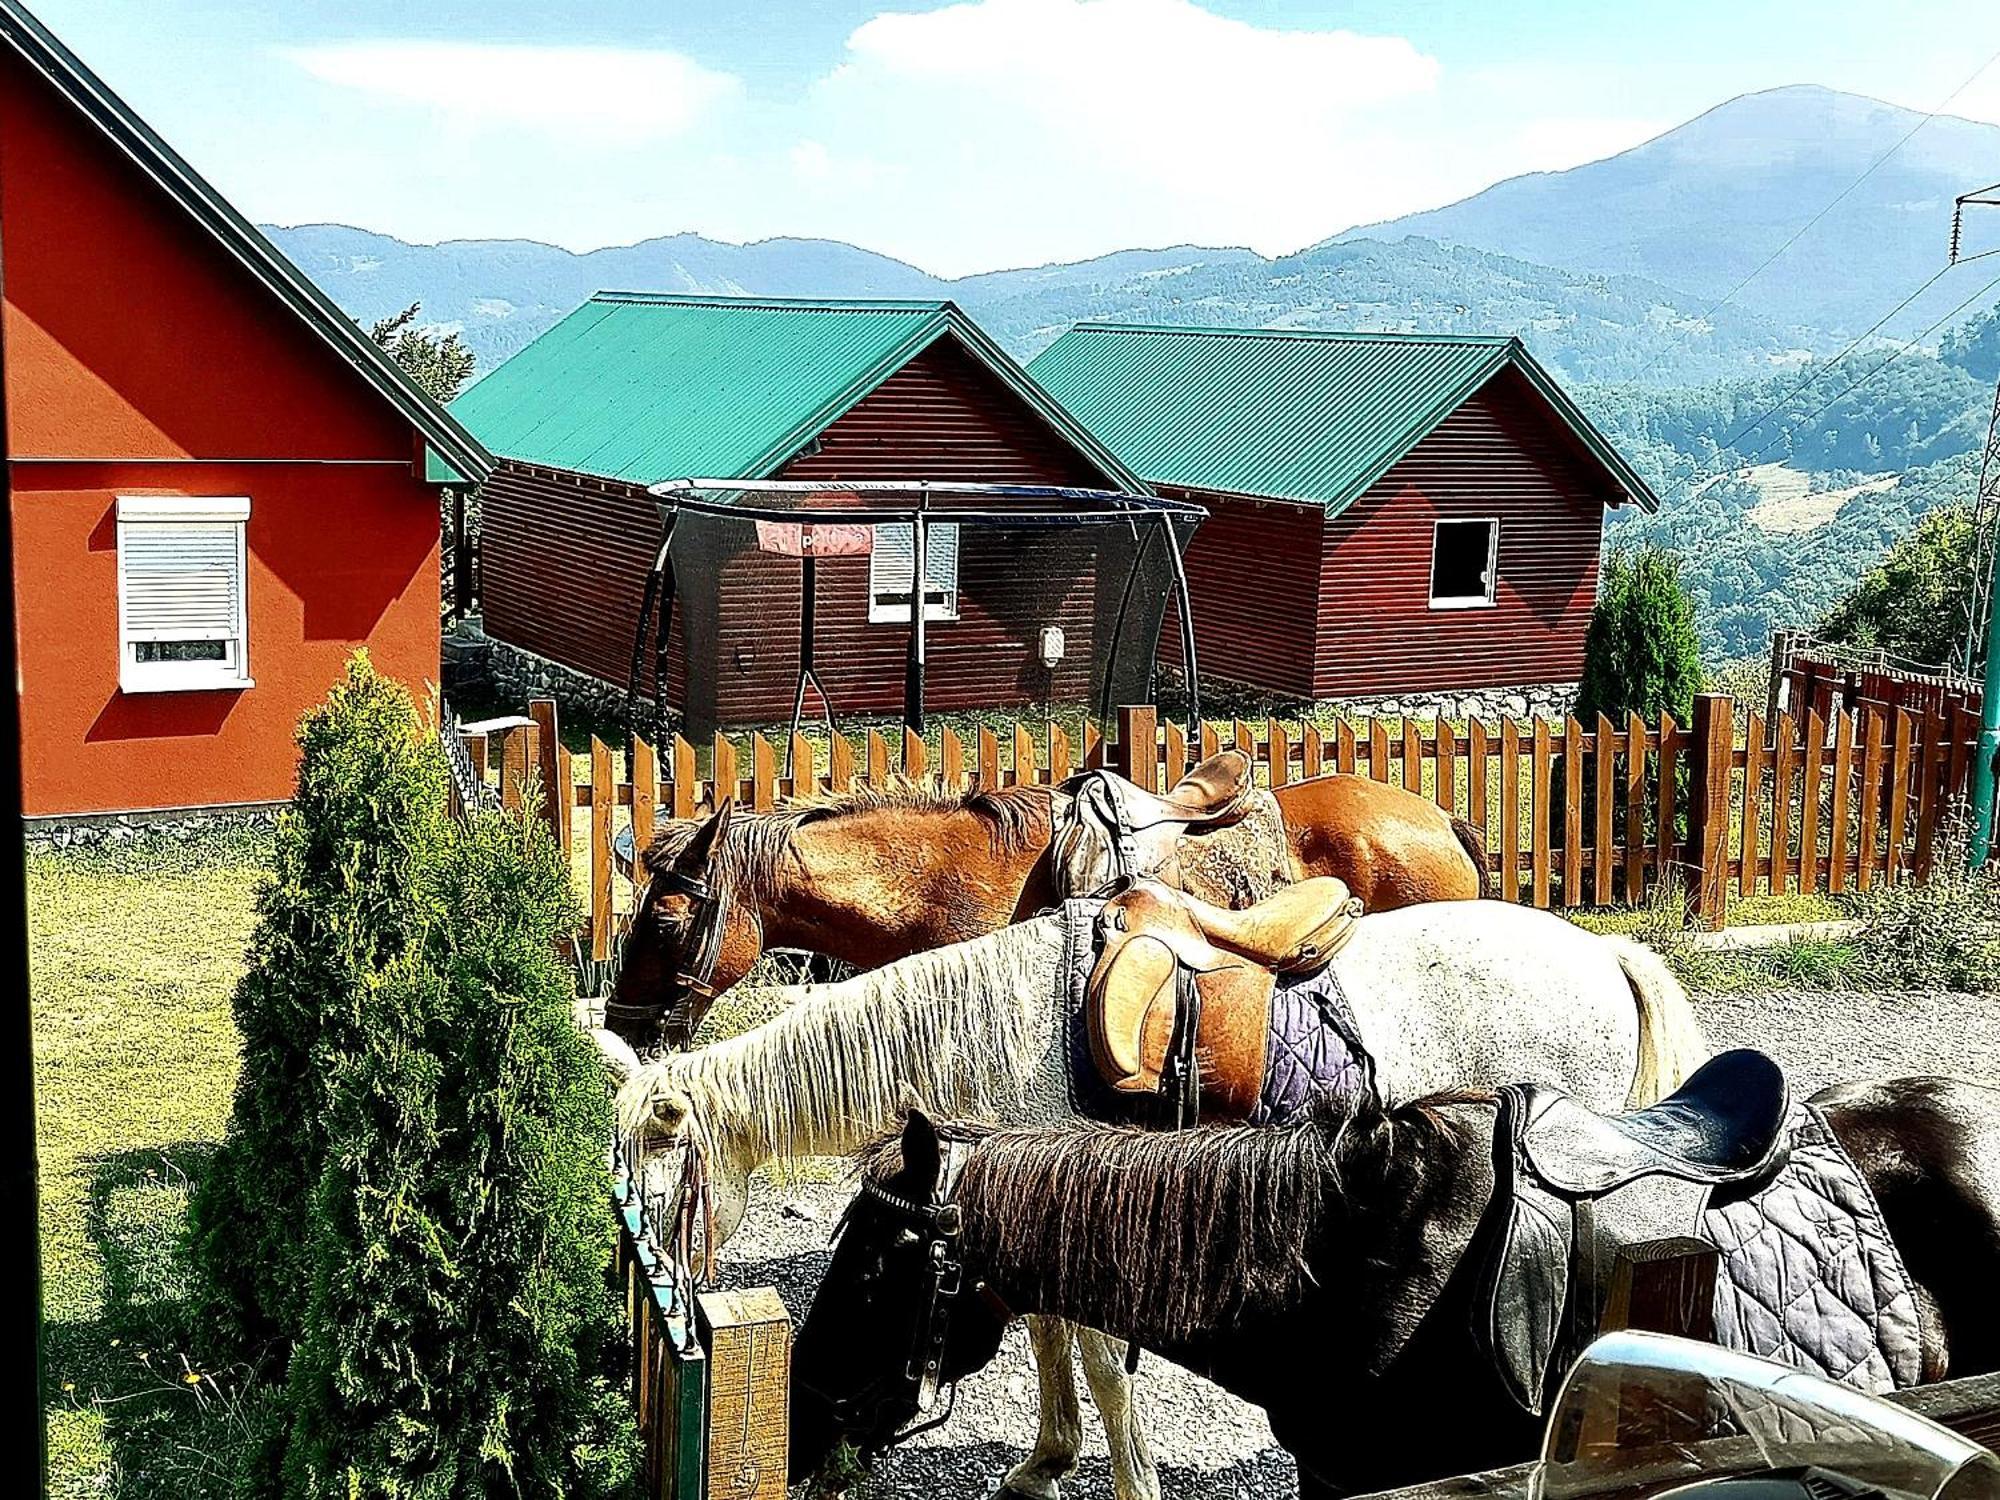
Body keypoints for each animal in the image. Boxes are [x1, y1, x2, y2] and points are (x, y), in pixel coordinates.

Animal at [588, 904, 1704, 1500]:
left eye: (664, 1186)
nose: (641, 1292)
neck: (984, 1036)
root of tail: (1604, 954)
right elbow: (1049, 1339)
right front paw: (1045, 1460)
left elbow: (1095, 1359)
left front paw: (1122, 1477)